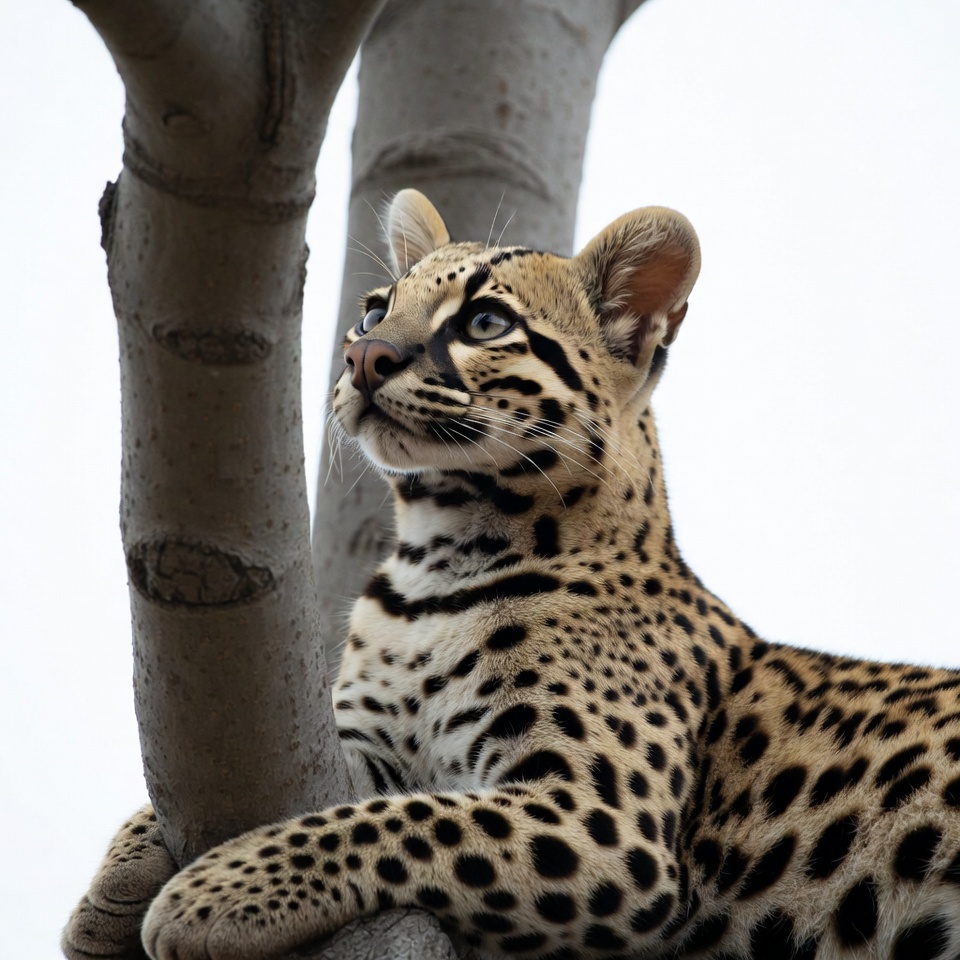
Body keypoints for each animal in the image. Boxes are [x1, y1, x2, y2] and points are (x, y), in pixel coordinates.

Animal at [63, 189, 960, 960]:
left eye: (486, 322)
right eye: (376, 308)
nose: (365, 355)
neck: (438, 563)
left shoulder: (607, 824)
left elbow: (408, 825)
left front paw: (219, 890)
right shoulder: (367, 747)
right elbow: (363, 800)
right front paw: (108, 897)